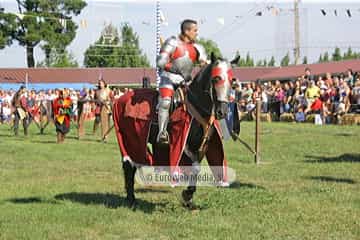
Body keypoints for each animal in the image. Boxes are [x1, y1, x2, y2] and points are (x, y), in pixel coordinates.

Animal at [111, 54, 238, 208]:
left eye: (232, 81)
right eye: (216, 78)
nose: (223, 111)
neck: (196, 105)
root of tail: (119, 100)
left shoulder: (202, 146)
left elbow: (195, 169)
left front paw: (189, 199)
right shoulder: (184, 145)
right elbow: (195, 168)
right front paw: (187, 194)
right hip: (130, 140)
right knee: (129, 165)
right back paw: (131, 199)